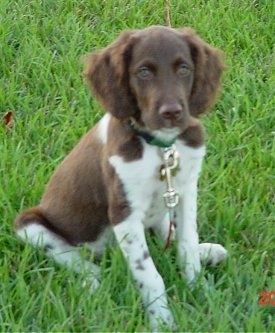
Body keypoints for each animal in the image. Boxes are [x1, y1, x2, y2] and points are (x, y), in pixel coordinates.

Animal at [13, 26, 229, 330]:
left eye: (184, 69)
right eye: (144, 72)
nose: (172, 112)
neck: (160, 147)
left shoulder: (186, 191)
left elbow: (186, 244)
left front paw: (199, 289)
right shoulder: (124, 212)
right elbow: (150, 274)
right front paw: (162, 321)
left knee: (165, 227)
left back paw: (206, 251)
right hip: (30, 225)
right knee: (71, 256)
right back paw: (91, 280)